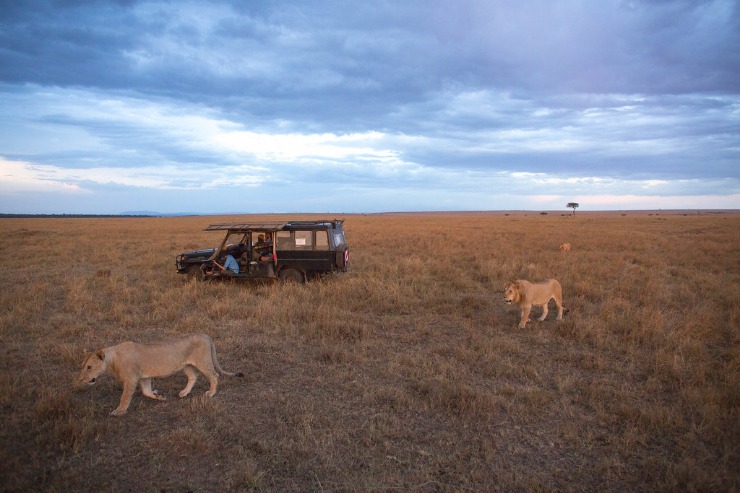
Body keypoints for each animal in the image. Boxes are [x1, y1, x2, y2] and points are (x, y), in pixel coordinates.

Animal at [77, 333, 243, 416]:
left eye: (89, 367)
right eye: (83, 367)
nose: (81, 379)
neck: (112, 360)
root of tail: (205, 335)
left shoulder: (131, 379)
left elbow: (125, 397)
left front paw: (119, 411)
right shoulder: (144, 377)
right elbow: (146, 391)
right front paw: (159, 396)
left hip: (203, 362)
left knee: (214, 376)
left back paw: (210, 393)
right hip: (186, 365)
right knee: (193, 376)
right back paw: (184, 393)